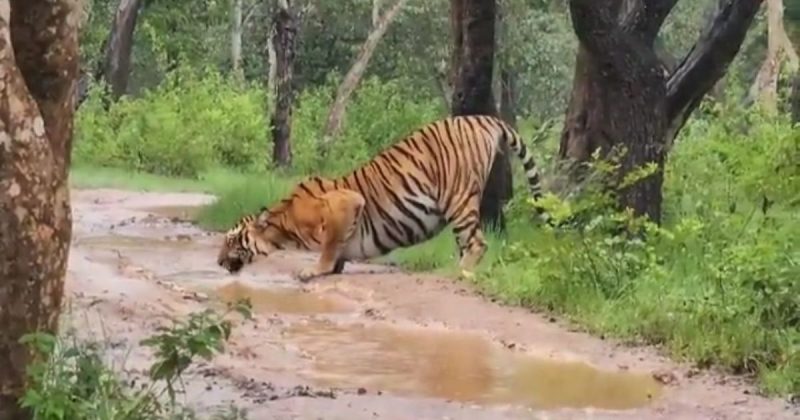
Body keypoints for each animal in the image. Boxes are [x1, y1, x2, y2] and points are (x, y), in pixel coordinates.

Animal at [216, 114, 549, 282]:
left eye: (232, 240)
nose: (218, 262)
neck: (284, 226)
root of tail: (482, 118)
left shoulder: (345, 203)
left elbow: (329, 245)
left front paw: (315, 270)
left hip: (459, 196)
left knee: (477, 242)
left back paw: (458, 272)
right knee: (467, 241)